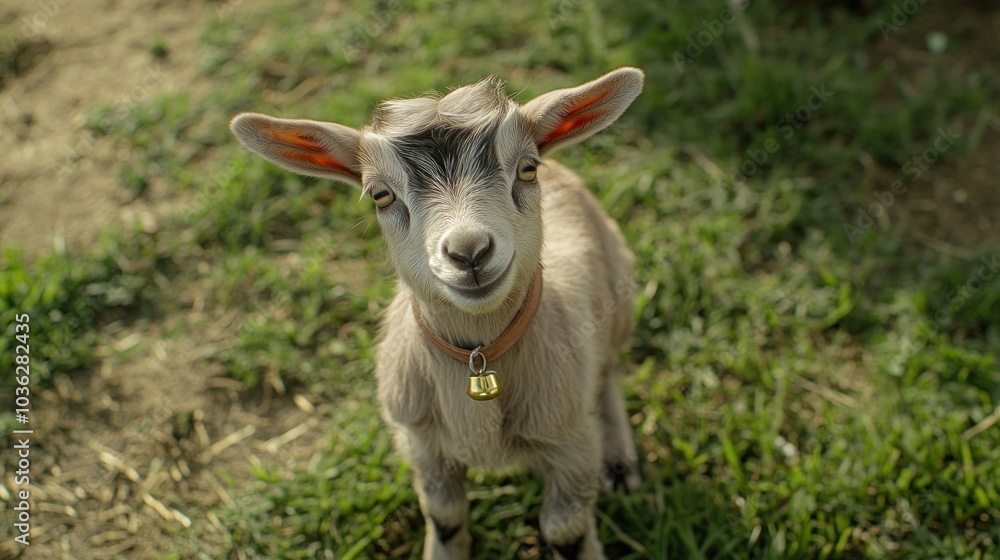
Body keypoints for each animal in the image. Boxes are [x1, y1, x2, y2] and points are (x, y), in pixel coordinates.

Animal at [230, 67, 644, 560]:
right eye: (380, 194)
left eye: (527, 168)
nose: (469, 252)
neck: (476, 362)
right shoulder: (420, 442)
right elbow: (445, 517)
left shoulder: (570, 444)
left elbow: (567, 531)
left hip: (619, 300)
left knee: (610, 371)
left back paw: (620, 462)